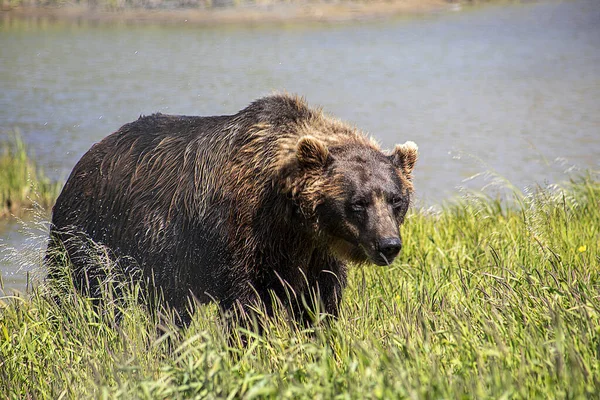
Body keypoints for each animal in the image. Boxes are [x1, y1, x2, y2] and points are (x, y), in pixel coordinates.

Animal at [45, 94, 418, 324]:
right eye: (358, 203)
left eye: (396, 200)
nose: (388, 245)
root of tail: (83, 161)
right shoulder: (241, 235)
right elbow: (245, 305)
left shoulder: (313, 254)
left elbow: (319, 302)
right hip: (91, 233)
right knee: (87, 299)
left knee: (168, 316)